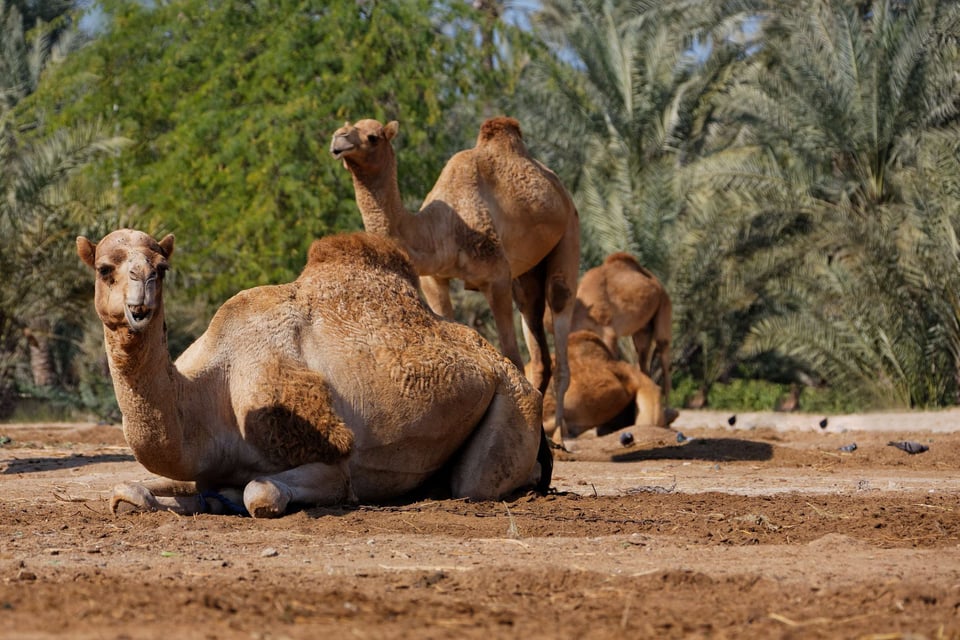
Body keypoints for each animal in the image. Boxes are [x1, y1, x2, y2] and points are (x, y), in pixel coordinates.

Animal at [77, 229, 551, 518]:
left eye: (160, 269)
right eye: (105, 269)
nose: (140, 302)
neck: (210, 394)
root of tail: (499, 361)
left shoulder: (333, 466)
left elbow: (260, 492)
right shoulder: (207, 469)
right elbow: (130, 489)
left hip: (513, 400)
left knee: (476, 482)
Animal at [330, 116, 580, 439]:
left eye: (373, 136)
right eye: (346, 126)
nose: (339, 139)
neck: (443, 229)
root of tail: (558, 186)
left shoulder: (496, 276)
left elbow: (512, 357)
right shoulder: (435, 279)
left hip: (569, 232)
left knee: (560, 312)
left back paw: (562, 437)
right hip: (527, 273)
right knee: (535, 332)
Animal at [572, 252, 673, 406]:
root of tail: (658, 283)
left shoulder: (608, 332)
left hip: (663, 306)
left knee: (663, 352)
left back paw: (667, 405)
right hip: (642, 330)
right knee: (643, 359)